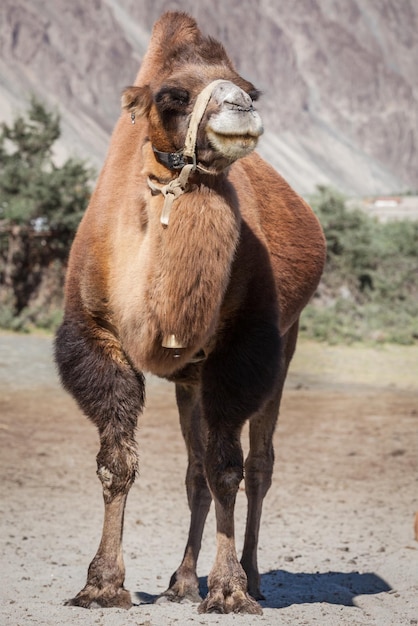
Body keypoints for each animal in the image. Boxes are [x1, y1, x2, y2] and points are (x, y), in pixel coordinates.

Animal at [53, 11, 326, 616]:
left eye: (250, 88)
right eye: (173, 95)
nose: (241, 109)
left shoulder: (243, 347)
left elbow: (228, 467)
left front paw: (228, 590)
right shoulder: (98, 335)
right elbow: (118, 462)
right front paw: (102, 585)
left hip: (286, 343)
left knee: (259, 465)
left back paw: (252, 575)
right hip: (189, 380)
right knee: (193, 469)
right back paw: (180, 581)